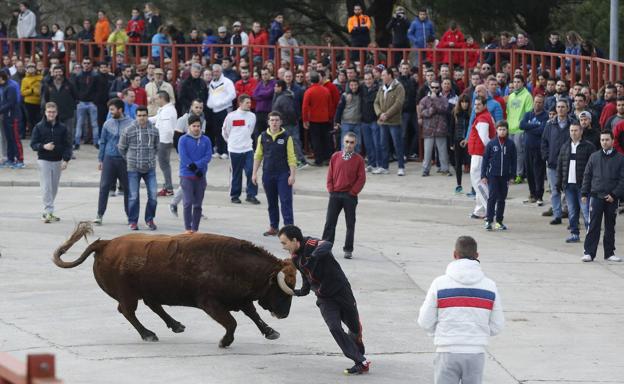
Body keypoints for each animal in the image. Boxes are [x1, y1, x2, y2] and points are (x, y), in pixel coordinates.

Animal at [53, 222, 298, 348]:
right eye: (282, 291)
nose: (284, 314)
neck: (230, 263)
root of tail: (105, 244)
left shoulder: (240, 299)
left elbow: (253, 315)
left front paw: (271, 332)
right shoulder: (210, 303)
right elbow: (232, 322)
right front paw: (224, 341)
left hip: (149, 291)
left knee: (153, 305)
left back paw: (176, 325)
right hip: (129, 295)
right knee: (128, 311)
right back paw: (149, 334)